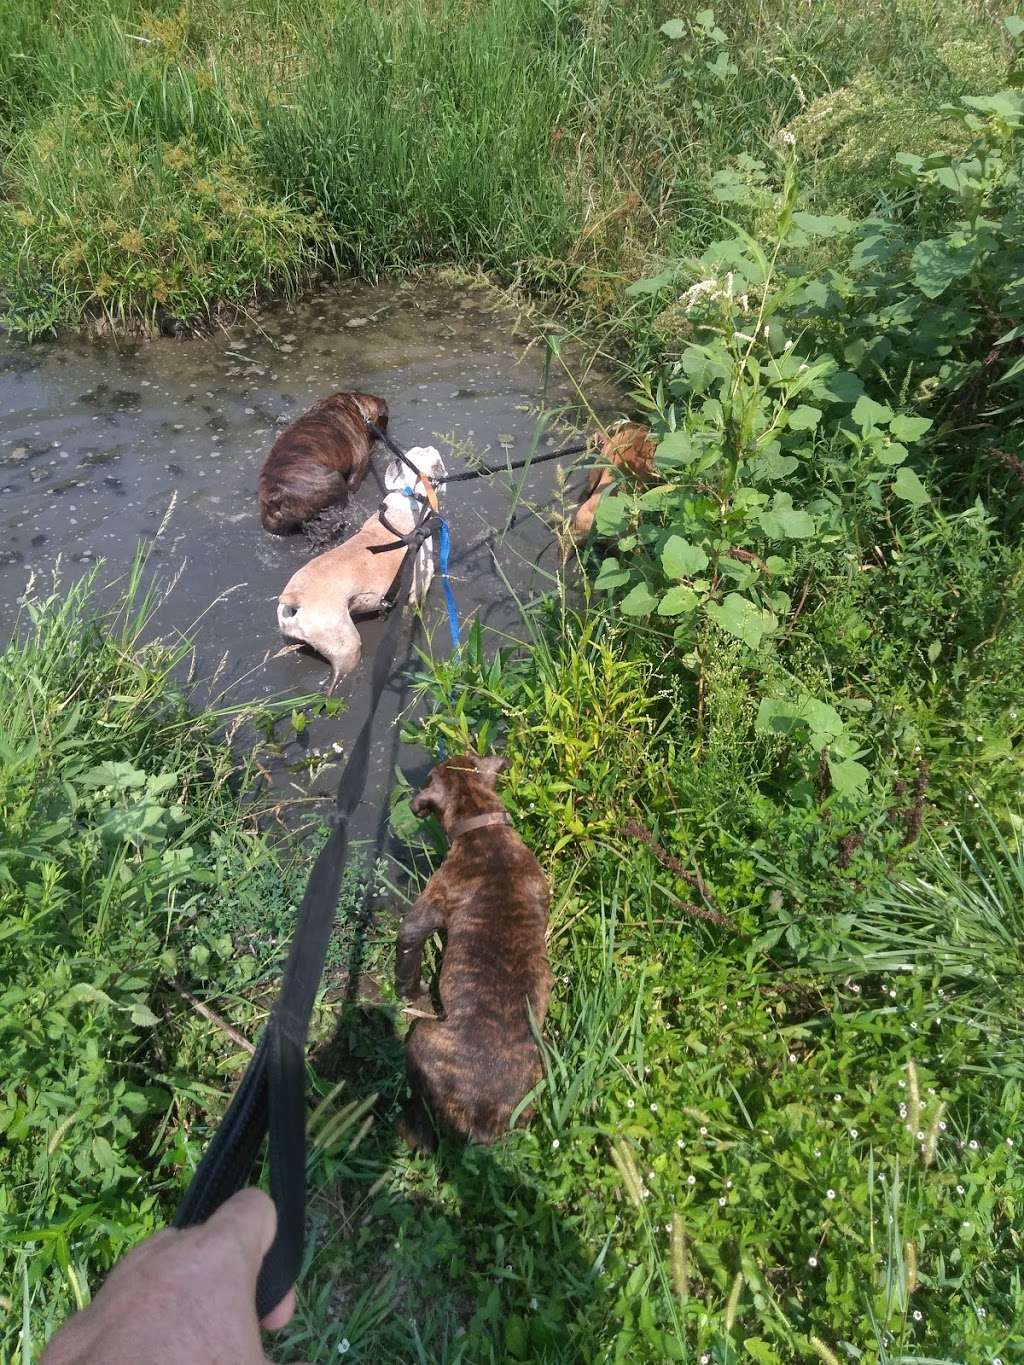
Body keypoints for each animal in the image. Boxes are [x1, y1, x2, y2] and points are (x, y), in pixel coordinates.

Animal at [258, 390, 390, 532]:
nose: (385, 433)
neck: (355, 406)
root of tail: (275, 498)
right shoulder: (360, 462)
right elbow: (353, 482)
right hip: (335, 479)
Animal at [277, 444, 447, 687]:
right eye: (436, 461)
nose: (431, 446)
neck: (408, 498)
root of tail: (294, 597)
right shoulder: (418, 590)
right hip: (346, 648)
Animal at [395, 758, 554, 1152]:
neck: (483, 824)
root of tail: (482, 1121)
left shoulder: (425, 911)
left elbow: (407, 947)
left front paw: (409, 991)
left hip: (421, 1038)